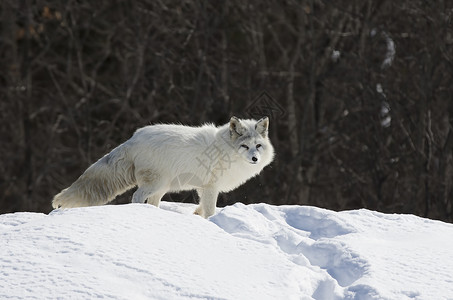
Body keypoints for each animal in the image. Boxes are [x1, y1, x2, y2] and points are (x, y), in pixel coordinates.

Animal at [51, 116, 274, 217]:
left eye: (258, 146)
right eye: (244, 146)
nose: (255, 158)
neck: (225, 150)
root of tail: (133, 139)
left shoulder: (203, 188)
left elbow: (201, 208)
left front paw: (196, 216)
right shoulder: (211, 187)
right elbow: (210, 210)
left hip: (161, 188)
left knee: (151, 202)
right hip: (156, 184)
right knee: (136, 197)